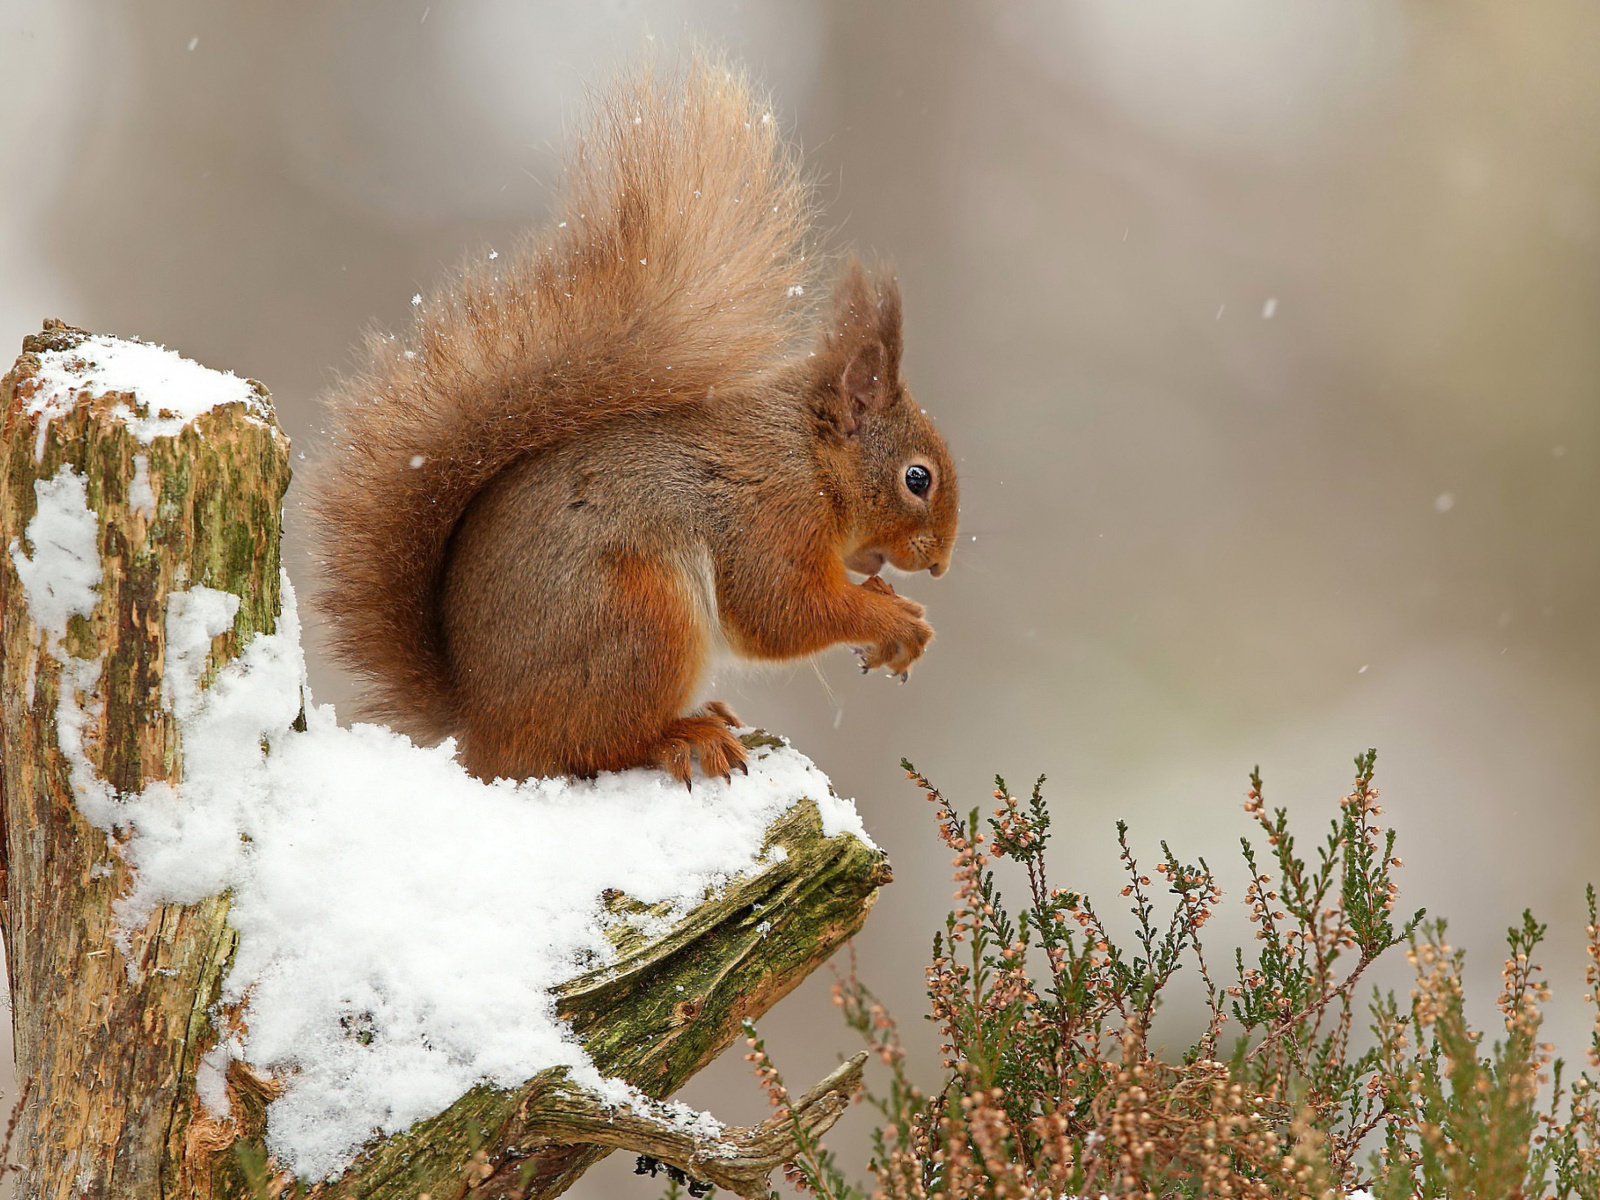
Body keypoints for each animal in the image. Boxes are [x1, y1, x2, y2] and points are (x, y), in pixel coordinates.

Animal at [313, 58, 960, 790]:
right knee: (598, 746)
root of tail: (485, 733)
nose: (939, 564)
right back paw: (682, 734)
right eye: (917, 479)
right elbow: (782, 612)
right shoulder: (769, 517)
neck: (809, 459)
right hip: (641, 619)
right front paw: (893, 617)